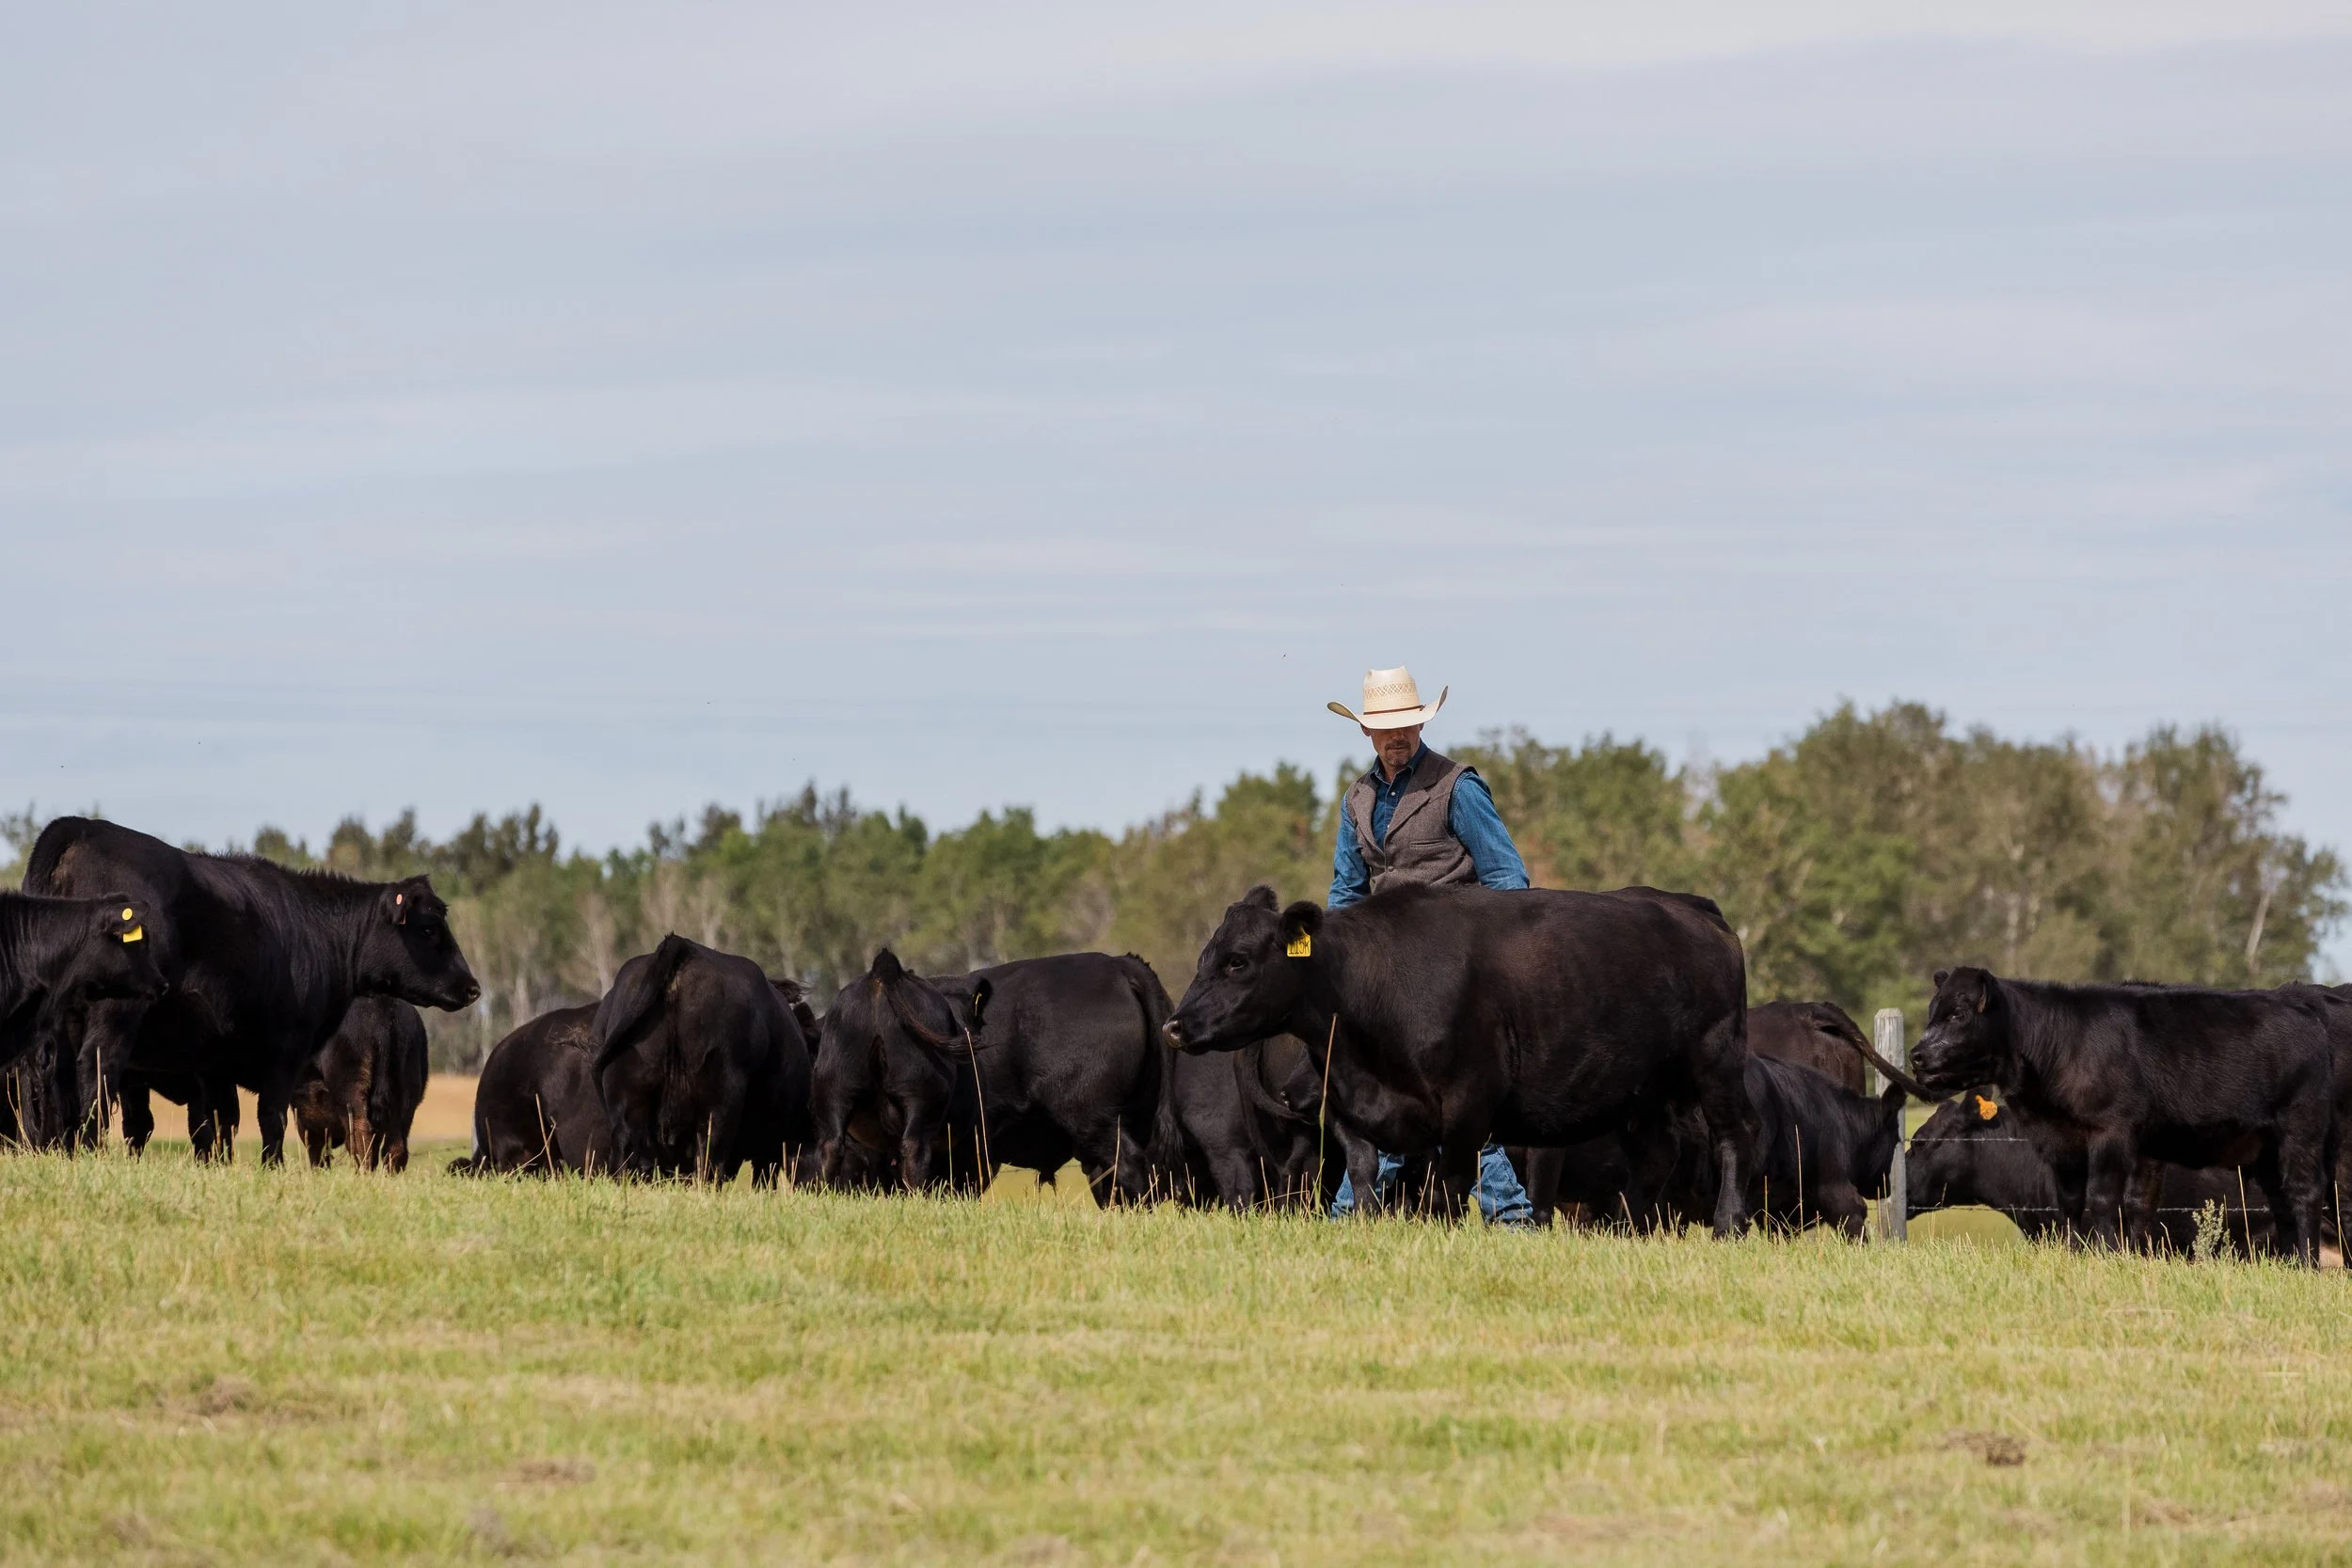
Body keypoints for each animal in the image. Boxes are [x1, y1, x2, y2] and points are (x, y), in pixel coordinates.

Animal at [591, 934, 811, 1184]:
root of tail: (683, 946)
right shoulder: (771, 1144)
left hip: (626, 1098)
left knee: (623, 1152)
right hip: (720, 1097)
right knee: (709, 1159)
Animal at [1162, 882, 1756, 1233]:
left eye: (1238, 961)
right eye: (1206, 957)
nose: (1175, 1026)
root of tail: (1691, 906)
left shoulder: (1470, 1100)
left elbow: (1448, 1181)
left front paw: (1439, 1233)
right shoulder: (1349, 1100)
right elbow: (1365, 1171)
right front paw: (1372, 1227)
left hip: (1716, 1059)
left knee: (1733, 1136)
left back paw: (1728, 1224)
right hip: (1643, 1088)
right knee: (1657, 1154)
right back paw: (1626, 1227)